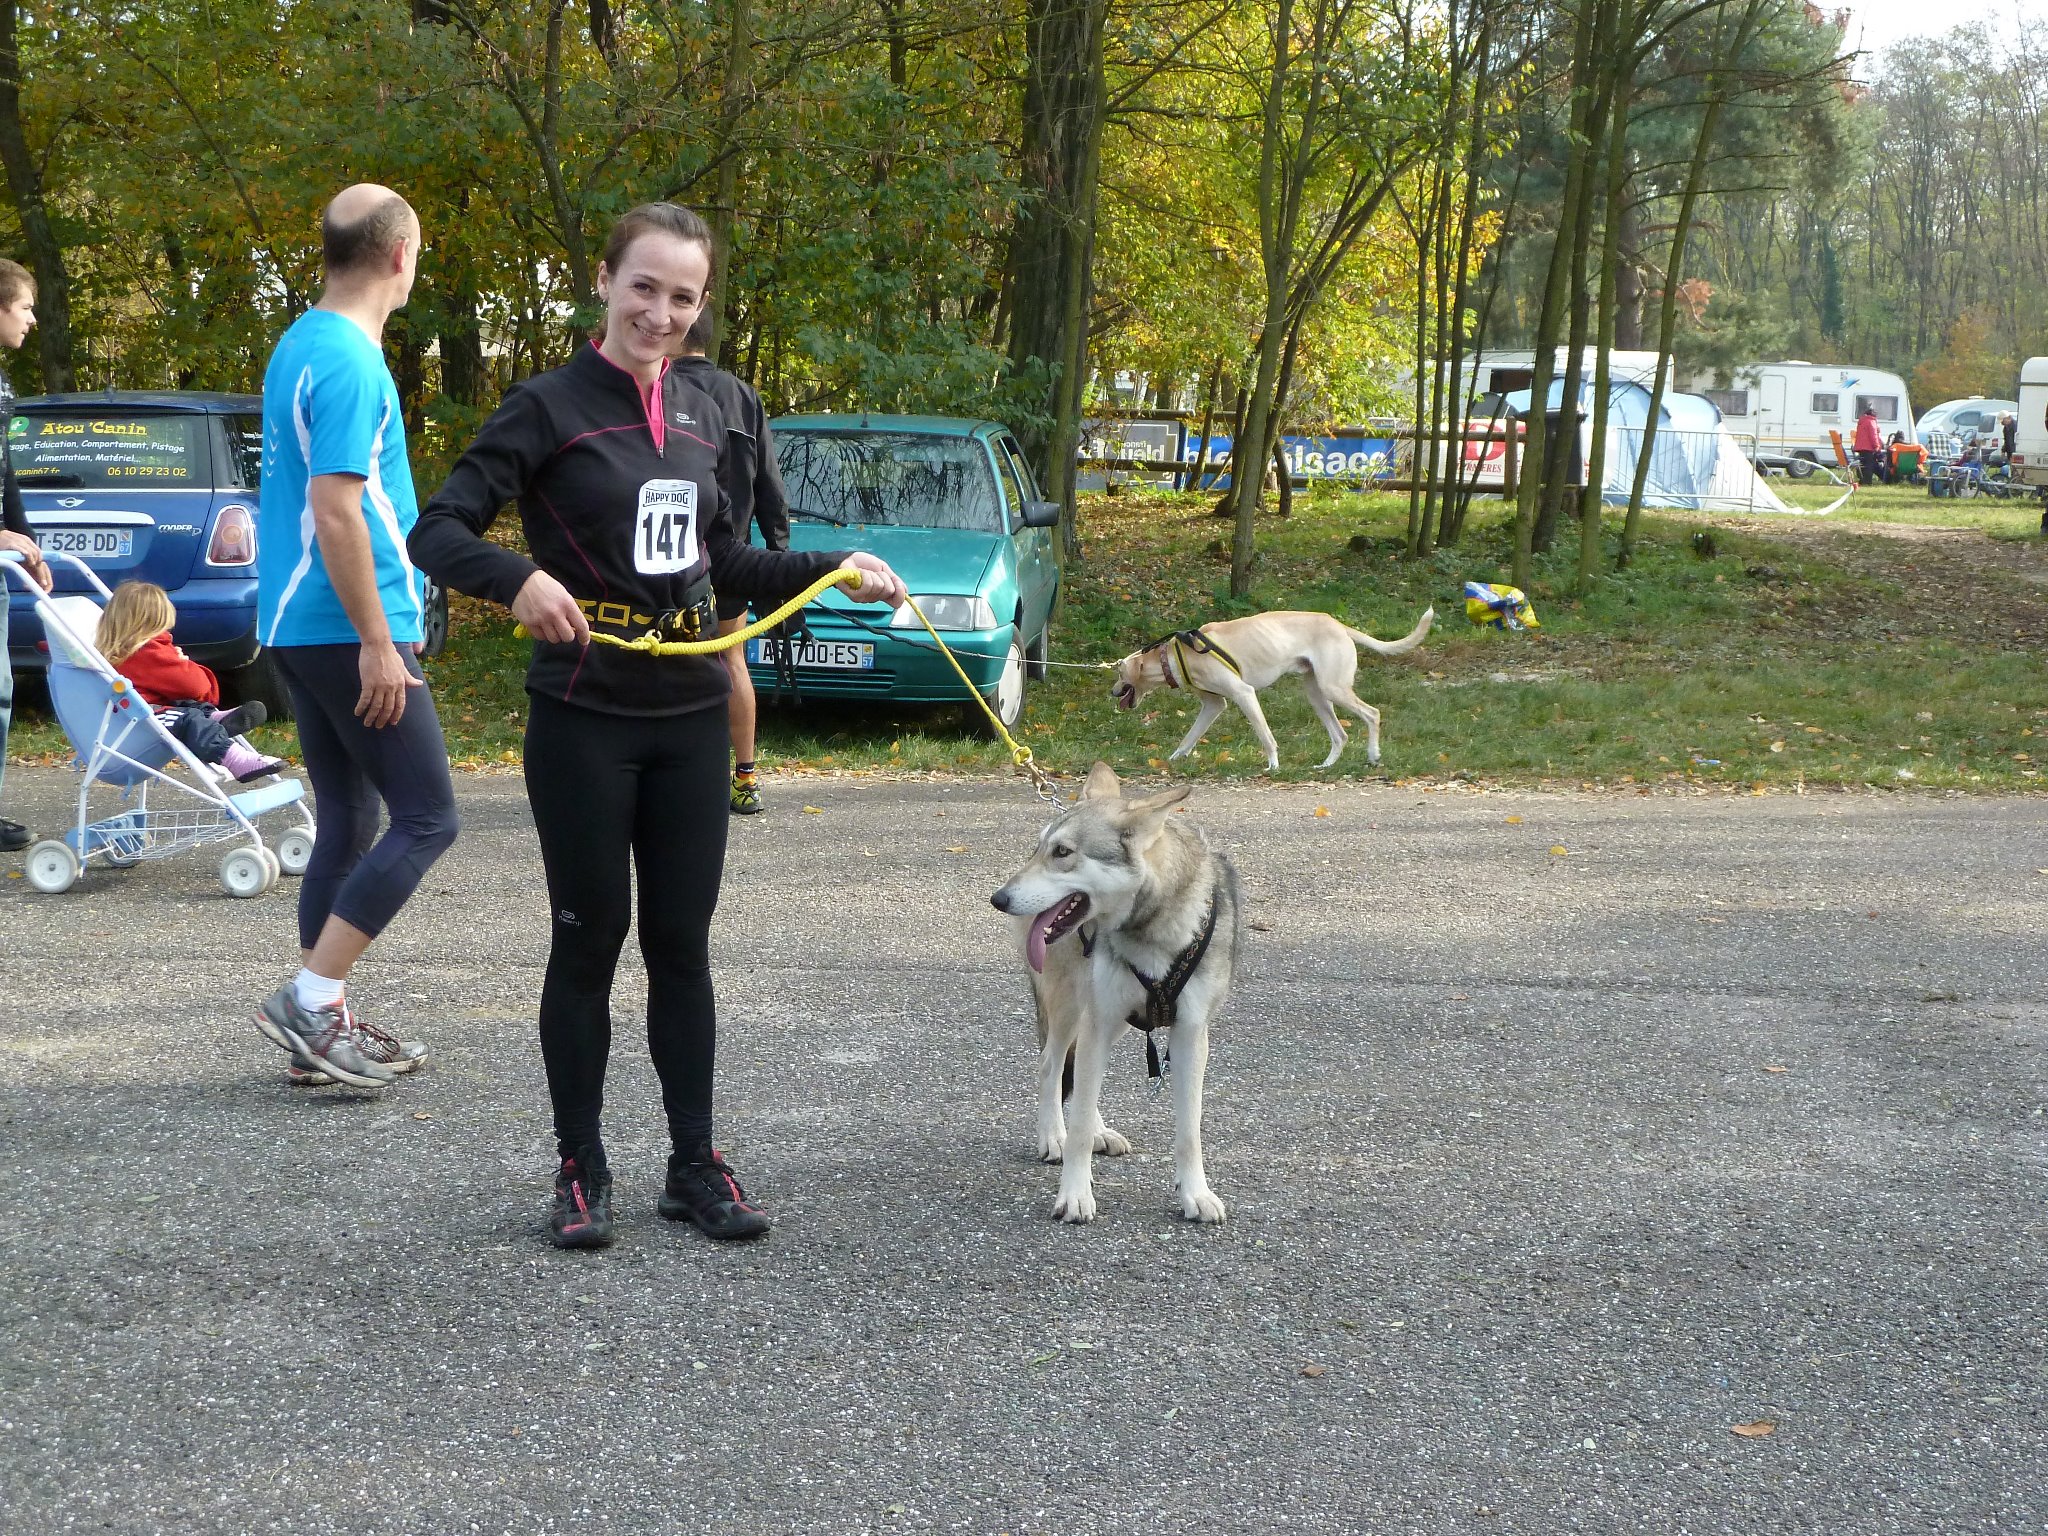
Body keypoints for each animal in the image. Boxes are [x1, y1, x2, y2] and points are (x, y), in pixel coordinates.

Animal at [1114, 610, 1433, 774]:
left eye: (1118, 673)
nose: (1113, 692)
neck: (1176, 655)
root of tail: (1339, 624)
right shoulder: (1213, 706)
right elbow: (1188, 739)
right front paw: (1171, 761)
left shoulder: (1244, 694)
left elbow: (1266, 737)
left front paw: (1273, 765)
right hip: (1316, 694)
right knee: (1340, 735)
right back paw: (1325, 765)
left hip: (1334, 689)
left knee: (1372, 713)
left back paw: (1373, 754)